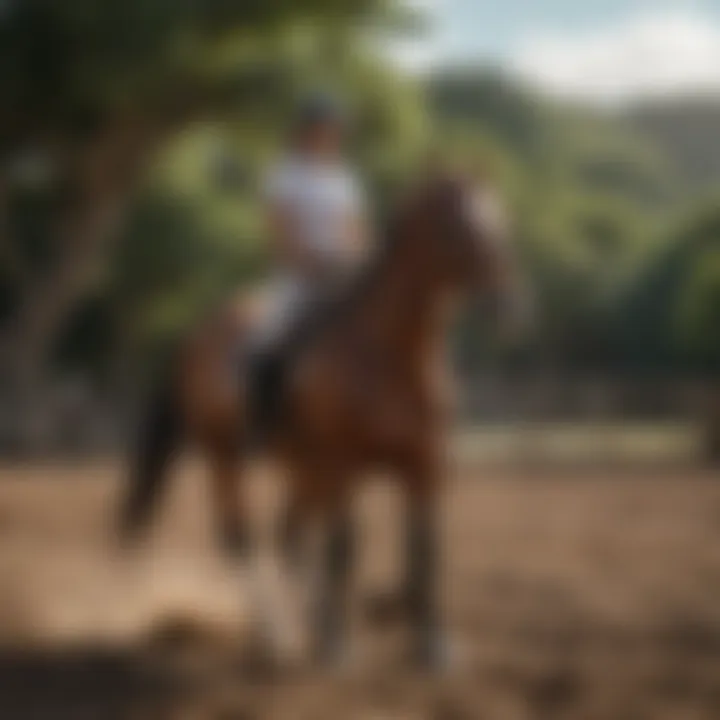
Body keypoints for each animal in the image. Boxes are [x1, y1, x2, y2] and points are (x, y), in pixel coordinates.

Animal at [118, 170, 524, 668]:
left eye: (501, 222)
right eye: (452, 229)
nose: (510, 306)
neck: (388, 357)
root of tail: (198, 335)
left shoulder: (425, 466)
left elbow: (425, 552)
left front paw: (430, 645)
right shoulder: (342, 464)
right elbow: (344, 547)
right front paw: (339, 644)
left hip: (302, 469)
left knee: (287, 535)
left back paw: (306, 624)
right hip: (227, 458)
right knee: (241, 537)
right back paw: (275, 635)